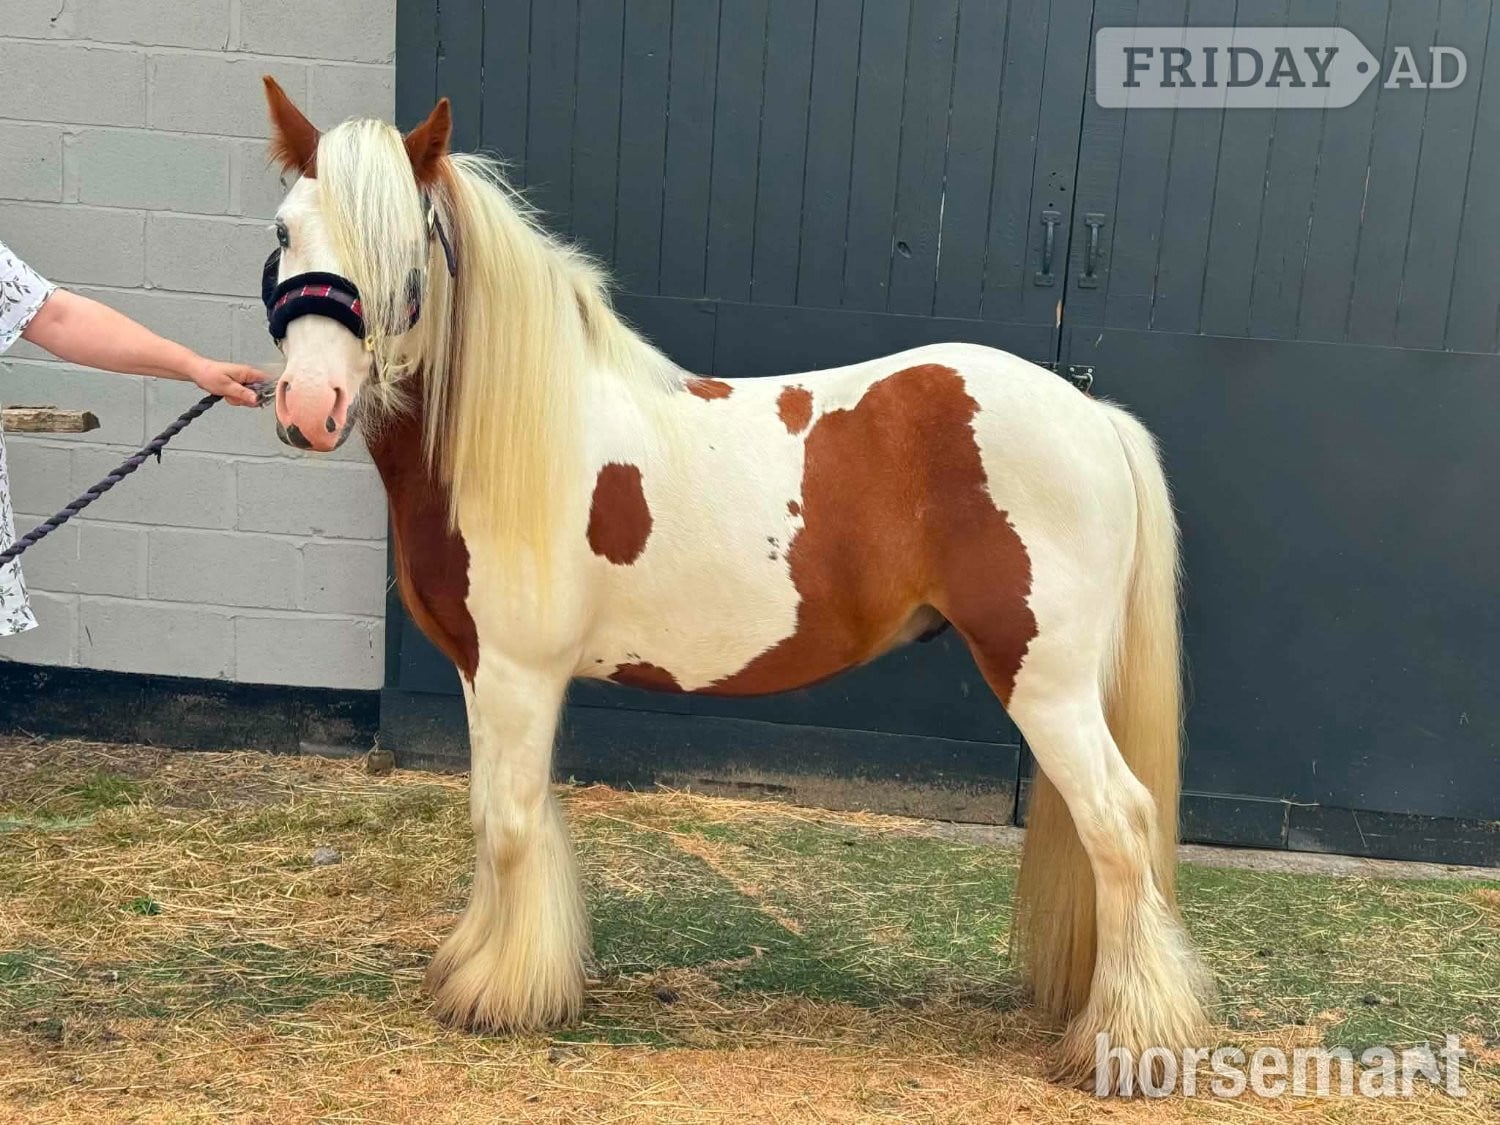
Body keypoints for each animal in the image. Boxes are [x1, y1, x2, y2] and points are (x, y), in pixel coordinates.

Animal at [257, 77, 1213, 1089]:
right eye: (284, 230)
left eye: (408, 253)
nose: (310, 406)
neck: (519, 435)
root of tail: (1093, 415)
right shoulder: (483, 672)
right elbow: (489, 816)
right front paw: (477, 965)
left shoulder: (521, 672)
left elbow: (511, 821)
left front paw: (502, 993)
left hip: (1046, 681)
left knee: (1120, 822)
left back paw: (1129, 1038)